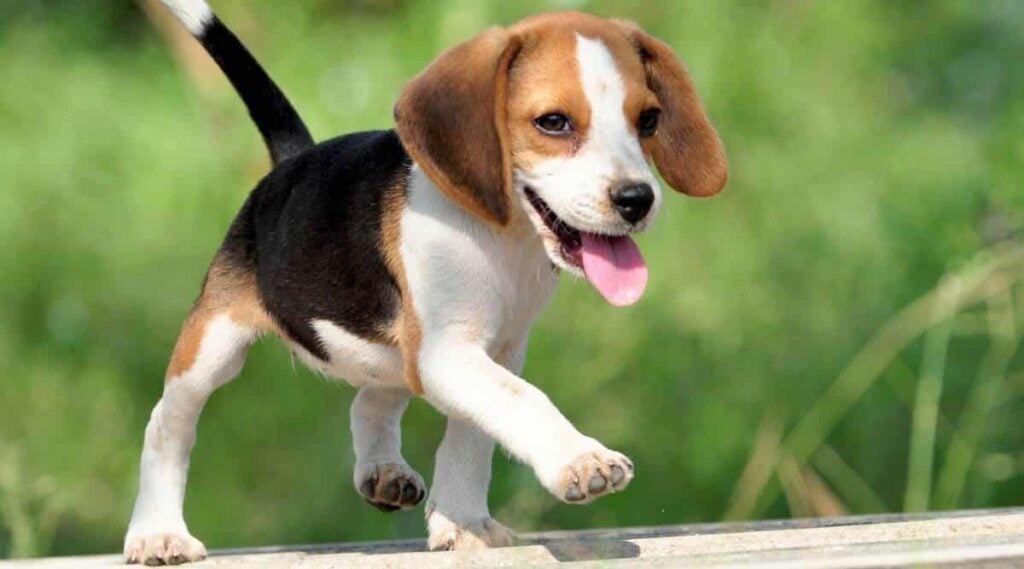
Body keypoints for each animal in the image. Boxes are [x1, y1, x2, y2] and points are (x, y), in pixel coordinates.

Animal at [121, 0, 729, 560]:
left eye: (647, 121)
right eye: (553, 122)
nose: (636, 200)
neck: (505, 238)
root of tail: (294, 163)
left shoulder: (494, 351)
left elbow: (474, 436)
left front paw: (465, 523)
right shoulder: (448, 352)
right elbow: (524, 401)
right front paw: (579, 460)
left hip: (391, 351)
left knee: (369, 400)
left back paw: (383, 471)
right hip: (214, 344)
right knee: (167, 426)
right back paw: (158, 533)